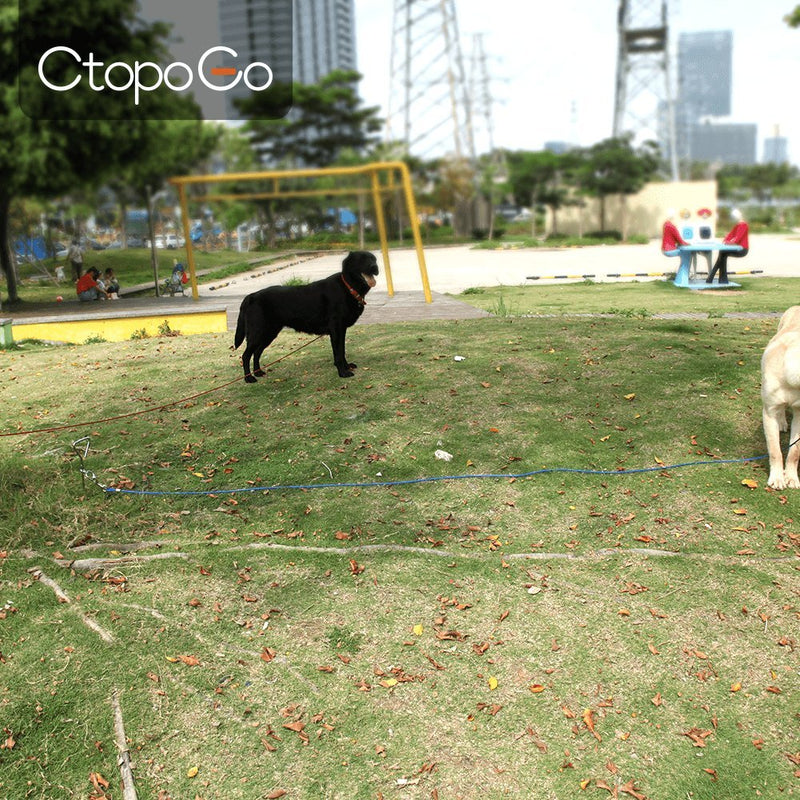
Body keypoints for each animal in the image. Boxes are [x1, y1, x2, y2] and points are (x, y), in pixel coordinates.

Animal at [233, 253, 380, 384]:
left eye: (373, 259)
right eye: (362, 259)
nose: (375, 267)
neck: (348, 287)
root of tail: (251, 296)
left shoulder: (341, 330)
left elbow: (342, 351)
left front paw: (346, 366)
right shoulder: (336, 329)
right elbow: (338, 353)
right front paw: (343, 372)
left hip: (269, 333)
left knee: (257, 352)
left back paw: (258, 372)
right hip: (258, 333)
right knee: (245, 355)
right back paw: (249, 378)